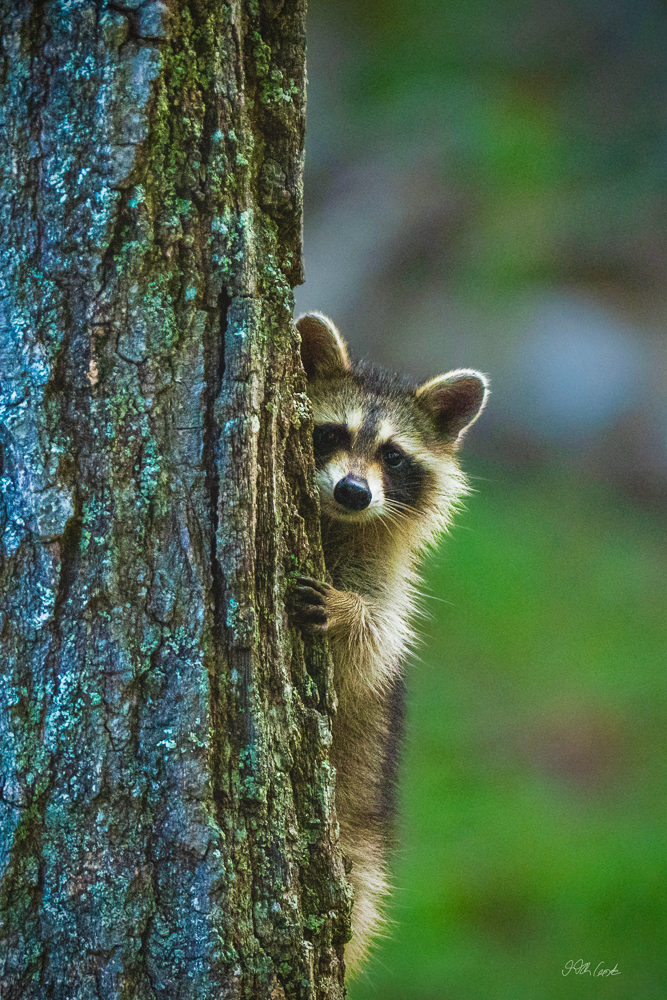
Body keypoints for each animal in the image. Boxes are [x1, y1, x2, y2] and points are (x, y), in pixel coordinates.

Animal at [292, 312, 489, 973]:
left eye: (394, 456)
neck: (339, 525)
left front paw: (348, 616)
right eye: (332, 433)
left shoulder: (388, 588)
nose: (354, 491)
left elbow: (373, 645)